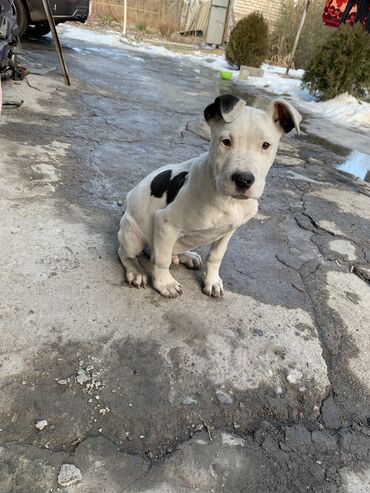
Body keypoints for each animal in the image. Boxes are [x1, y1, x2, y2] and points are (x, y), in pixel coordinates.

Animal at [118, 94, 300, 298]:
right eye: (226, 141)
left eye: (266, 145)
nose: (244, 179)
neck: (227, 199)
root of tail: (129, 198)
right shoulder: (166, 223)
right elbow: (161, 259)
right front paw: (164, 283)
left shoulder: (228, 231)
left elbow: (216, 256)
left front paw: (211, 281)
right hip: (132, 235)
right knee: (128, 252)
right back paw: (135, 270)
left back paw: (186, 256)